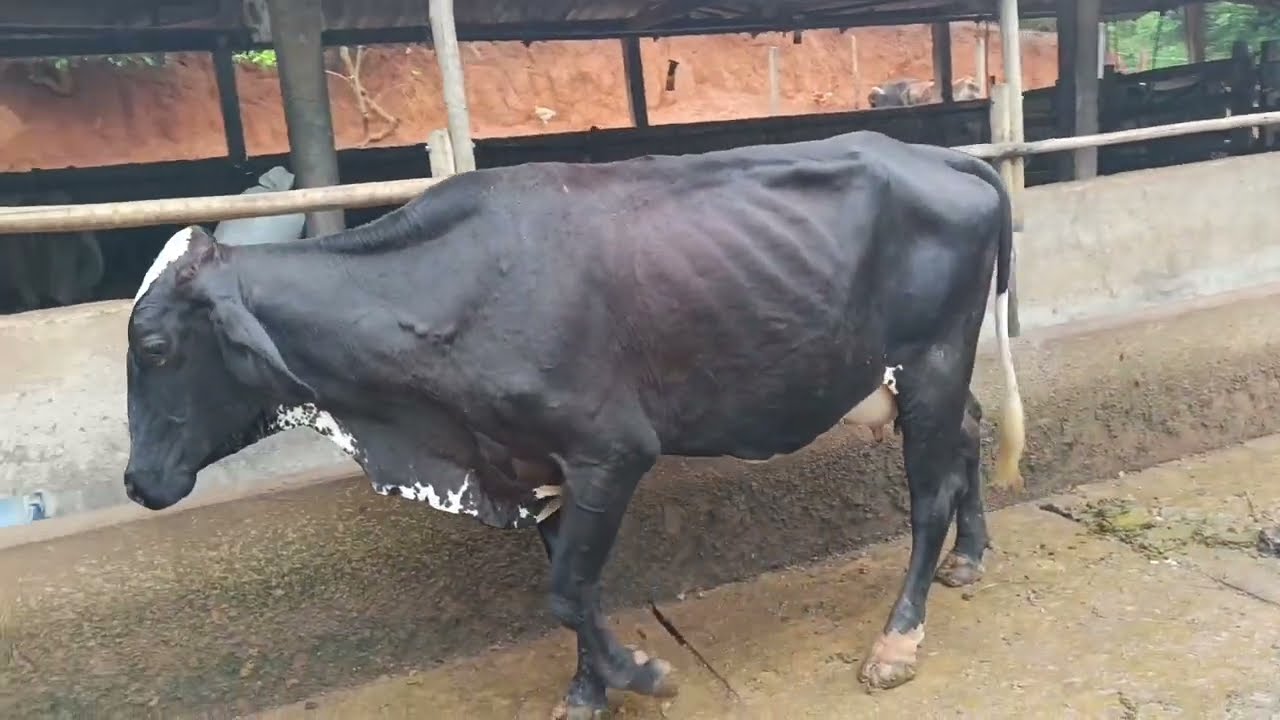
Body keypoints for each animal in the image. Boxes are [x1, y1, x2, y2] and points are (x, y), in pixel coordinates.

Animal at [123, 129, 1024, 717]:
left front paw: (643, 674)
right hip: (928, 375)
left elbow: (565, 590)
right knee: (970, 438)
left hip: (933, 360)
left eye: (154, 345)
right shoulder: (531, 464)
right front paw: (591, 691)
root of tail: (936, 153)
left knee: (928, 497)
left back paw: (898, 641)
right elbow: (573, 587)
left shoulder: (611, 451)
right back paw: (972, 558)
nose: (136, 482)